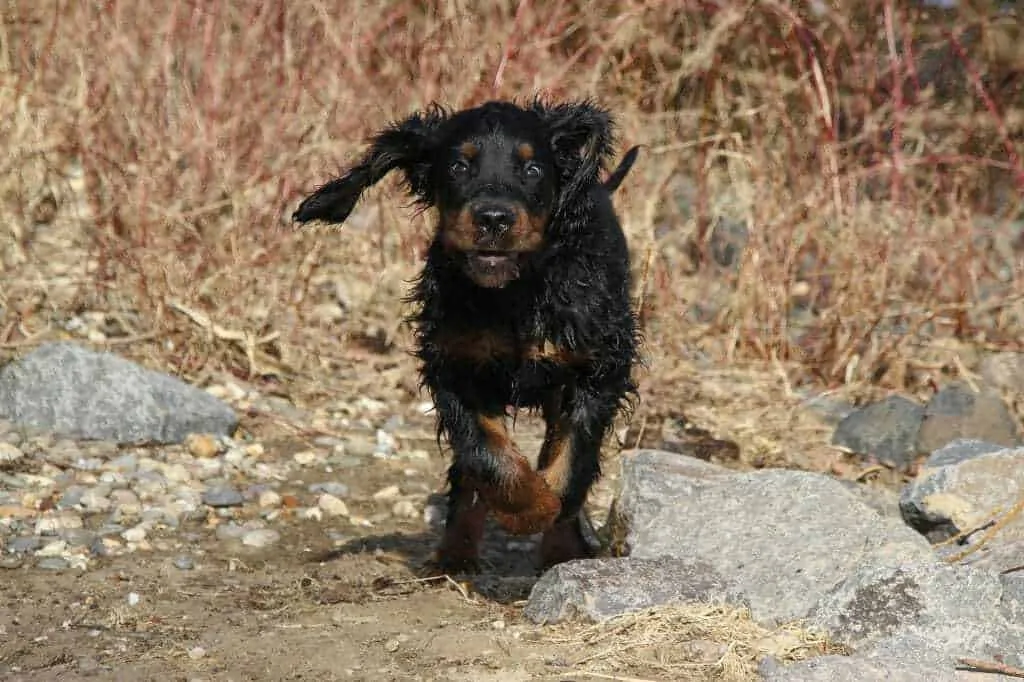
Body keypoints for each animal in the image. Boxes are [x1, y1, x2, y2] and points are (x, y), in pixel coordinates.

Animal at [290, 98, 638, 569]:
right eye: (458, 166)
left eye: (533, 169)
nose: (493, 219)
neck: (512, 291)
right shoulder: (455, 364)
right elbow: (485, 453)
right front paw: (529, 507)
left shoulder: (598, 367)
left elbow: (572, 458)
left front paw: (551, 516)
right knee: (468, 471)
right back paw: (453, 556)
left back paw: (561, 550)